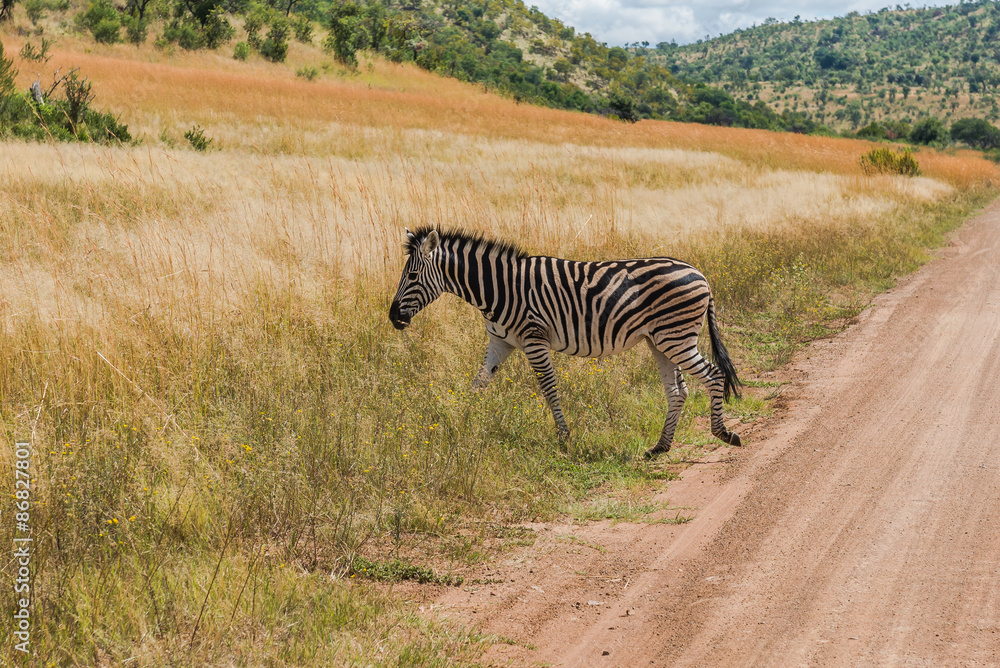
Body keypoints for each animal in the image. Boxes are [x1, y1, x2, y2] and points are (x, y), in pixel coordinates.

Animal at [388, 227, 742, 458]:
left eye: (413, 277)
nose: (392, 317)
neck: (497, 289)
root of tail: (700, 274)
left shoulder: (534, 339)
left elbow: (548, 387)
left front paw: (563, 438)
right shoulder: (500, 342)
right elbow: (478, 384)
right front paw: (460, 426)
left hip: (676, 337)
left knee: (713, 376)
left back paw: (723, 434)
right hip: (660, 341)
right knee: (678, 391)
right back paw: (659, 447)